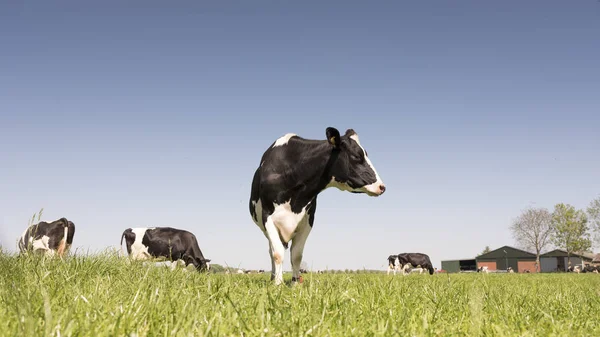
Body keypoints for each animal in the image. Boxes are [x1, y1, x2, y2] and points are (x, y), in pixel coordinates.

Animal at [247, 127, 384, 284]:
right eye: (356, 156)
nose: (382, 186)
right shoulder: (268, 217)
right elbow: (277, 254)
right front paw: (278, 283)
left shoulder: (308, 220)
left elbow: (296, 255)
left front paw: (295, 283)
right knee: (272, 252)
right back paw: (273, 277)